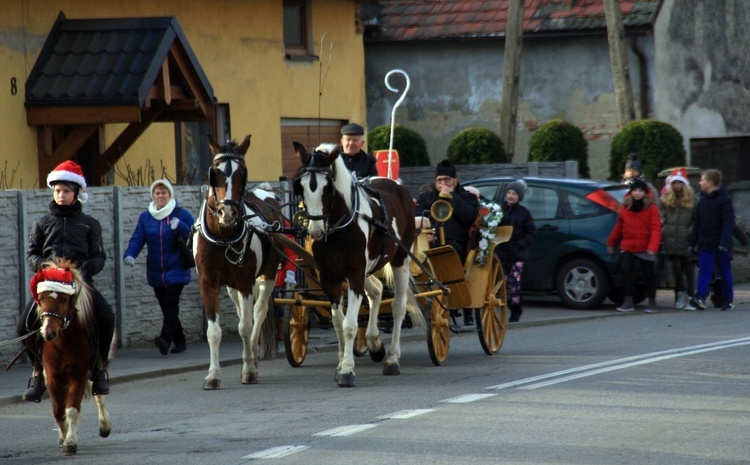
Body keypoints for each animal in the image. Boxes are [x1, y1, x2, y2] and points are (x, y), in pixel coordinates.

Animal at [30, 260, 112, 454]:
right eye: (41, 298)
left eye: (64, 299)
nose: (48, 332)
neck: (63, 342)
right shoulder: (52, 376)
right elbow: (59, 410)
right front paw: (63, 437)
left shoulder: (78, 374)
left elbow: (72, 408)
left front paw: (70, 442)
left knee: (99, 393)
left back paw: (104, 425)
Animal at [194, 134, 284, 388]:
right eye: (215, 172)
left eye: (242, 173)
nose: (228, 213)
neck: (223, 236)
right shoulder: (208, 282)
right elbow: (214, 331)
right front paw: (213, 375)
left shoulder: (245, 281)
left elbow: (245, 326)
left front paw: (249, 370)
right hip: (231, 285)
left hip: (268, 274)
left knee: (258, 311)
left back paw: (252, 354)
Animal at [294, 142, 424, 388]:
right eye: (302, 186)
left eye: (327, 187)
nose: (315, 231)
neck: (340, 226)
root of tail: (394, 184)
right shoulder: (330, 278)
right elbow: (338, 322)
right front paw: (340, 365)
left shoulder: (354, 274)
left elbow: (350, 325)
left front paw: (346, 370)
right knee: (377, 291)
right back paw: (375, 343)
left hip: (400, 259)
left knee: (398, 307)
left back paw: (392, 359)